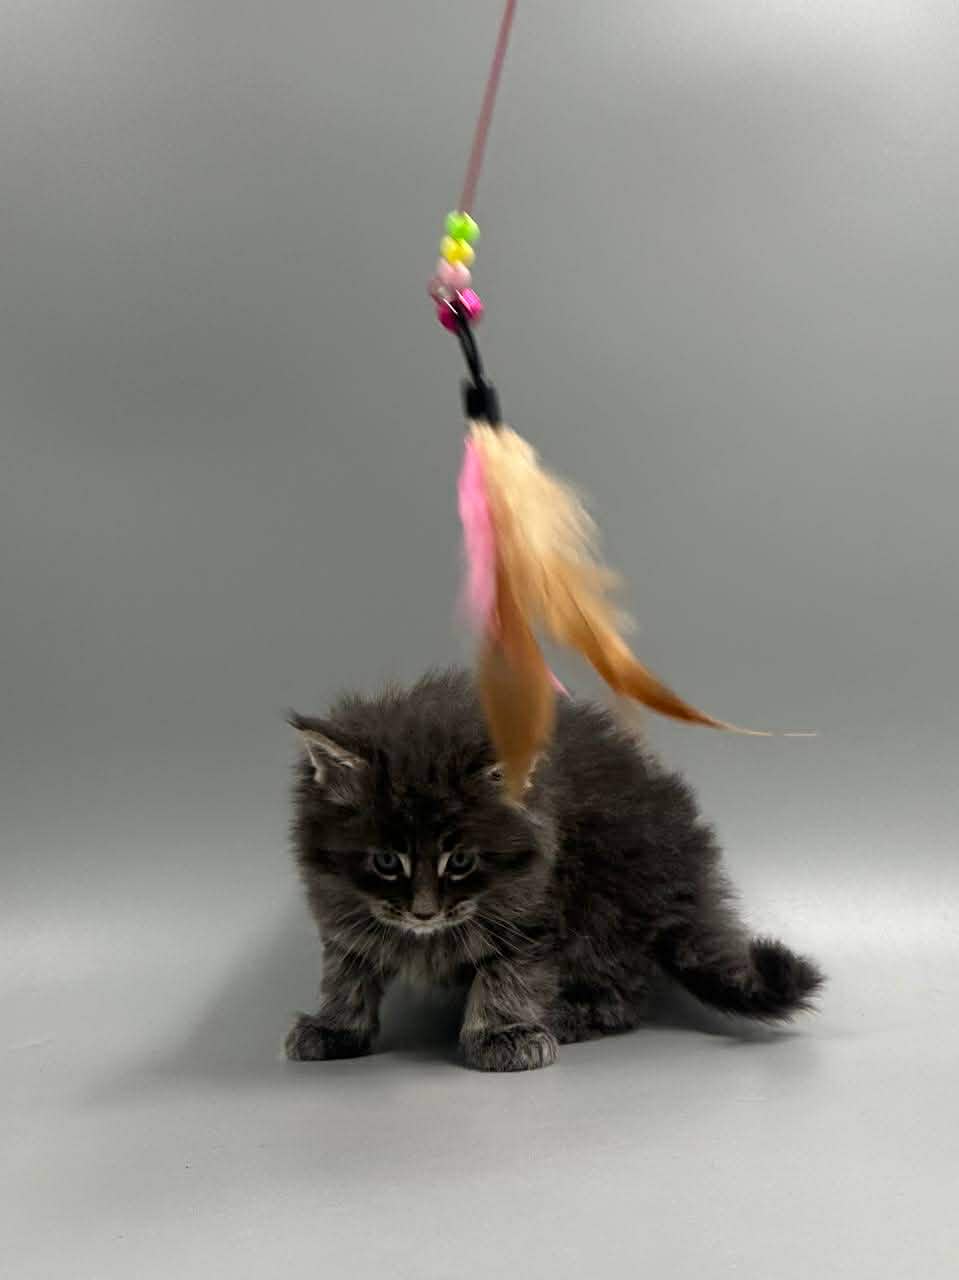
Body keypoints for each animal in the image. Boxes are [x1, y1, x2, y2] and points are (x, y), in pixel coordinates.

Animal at [286, 670, 823, 1071]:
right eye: (385, 861)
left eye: (460, 861)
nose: (423, 913)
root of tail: (687, 878)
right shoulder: (341, 906)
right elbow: (347, 967)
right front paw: (335, 1026)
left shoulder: (535, 905)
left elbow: (509, 969)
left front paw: (502, 1032)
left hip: (604, 899)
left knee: (622, 993)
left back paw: (567, 1015)